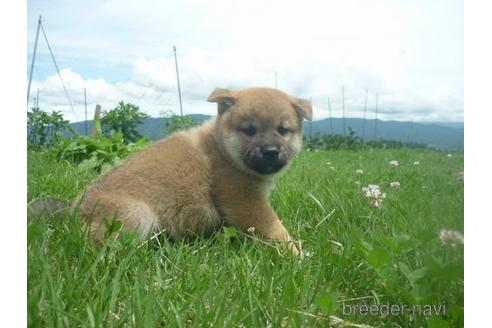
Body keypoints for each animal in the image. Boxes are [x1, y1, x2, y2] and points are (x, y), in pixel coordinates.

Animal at [73, 88, 312, 256]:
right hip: (137, 215)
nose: (271, 151)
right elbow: (275, 230)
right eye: (250, 130)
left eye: (283, 130)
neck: (222, 150)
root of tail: (72, 215)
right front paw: (295, 254)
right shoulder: (246, 202)